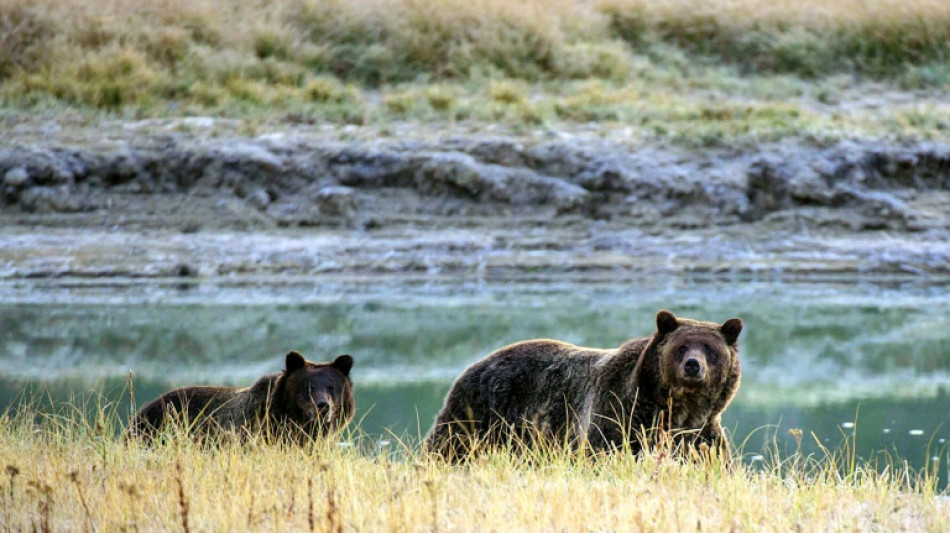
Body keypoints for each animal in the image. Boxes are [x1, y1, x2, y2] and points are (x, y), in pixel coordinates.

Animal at [424, 310, 744, 460]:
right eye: (682, 346)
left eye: (709, 348)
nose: (693, 365)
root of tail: (475, 363)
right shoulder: (618, 416)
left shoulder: (701, 435)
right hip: (481, 412)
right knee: (448, 446)